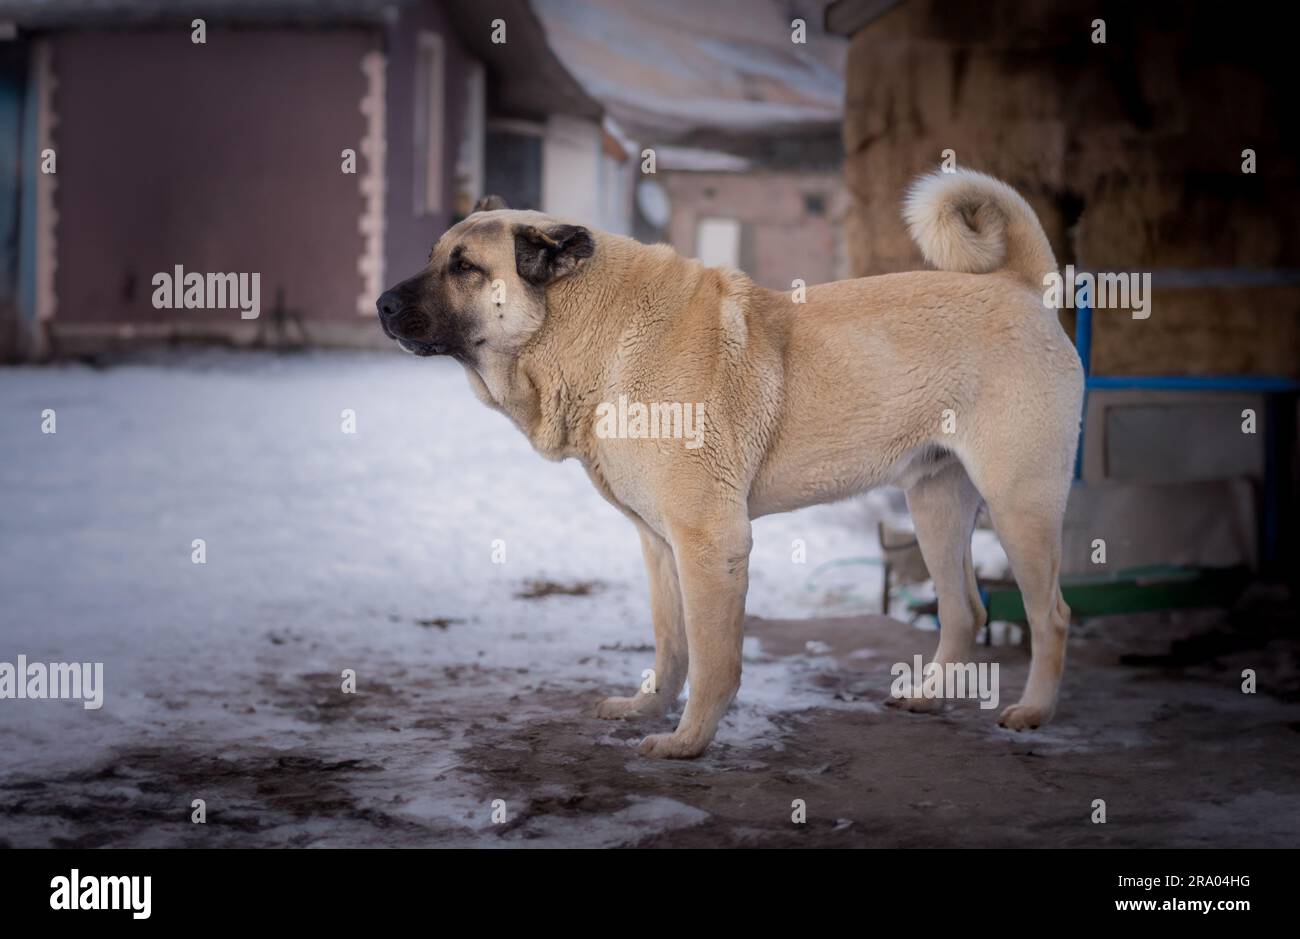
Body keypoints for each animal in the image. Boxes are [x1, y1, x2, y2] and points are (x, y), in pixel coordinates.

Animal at [379, 170, 1086, 754]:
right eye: (436, 256)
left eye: (465, 267)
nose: (383, 304)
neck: (588, 331)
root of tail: (1019, 285)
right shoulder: (660, 543)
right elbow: (671, 646)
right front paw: (645, 708)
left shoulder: (709, 542)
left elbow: (713, 659)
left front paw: (687, 742)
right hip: (936, 504)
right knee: (966, 610)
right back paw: (928, 697)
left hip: (1020, 504)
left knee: (1050, 616)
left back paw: (1033, 712)